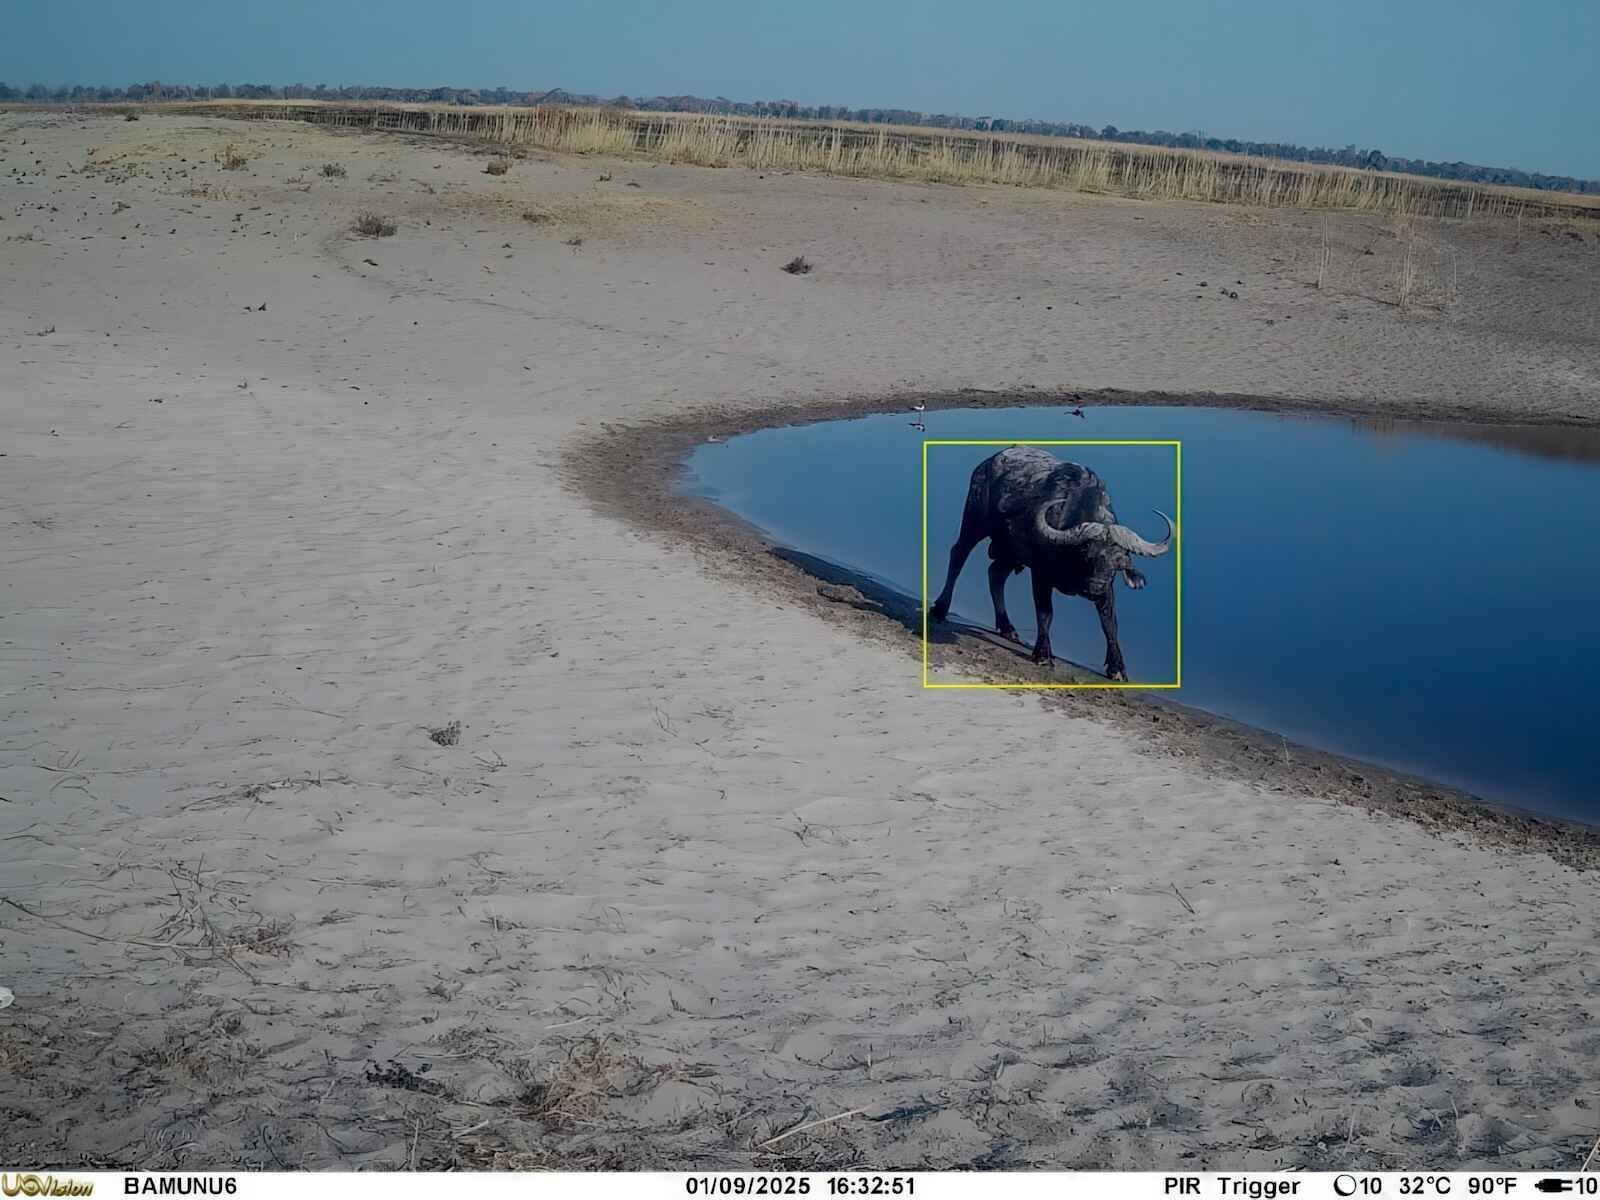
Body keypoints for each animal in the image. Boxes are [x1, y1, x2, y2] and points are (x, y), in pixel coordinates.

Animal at [927, 446, 1173, 680]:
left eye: (1118, 560)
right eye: (1088, 553)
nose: (1094, 587)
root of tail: (986, 463)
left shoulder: (1107, 590)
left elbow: (1110, 625)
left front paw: (1117, 667)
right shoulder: (1041, 575)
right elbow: (1045, 613)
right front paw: (1044, 654)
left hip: (1011, 551)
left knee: (995, 573)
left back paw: (1007, 627)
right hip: (974, 522)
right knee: (958, 556)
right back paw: (940, 608)